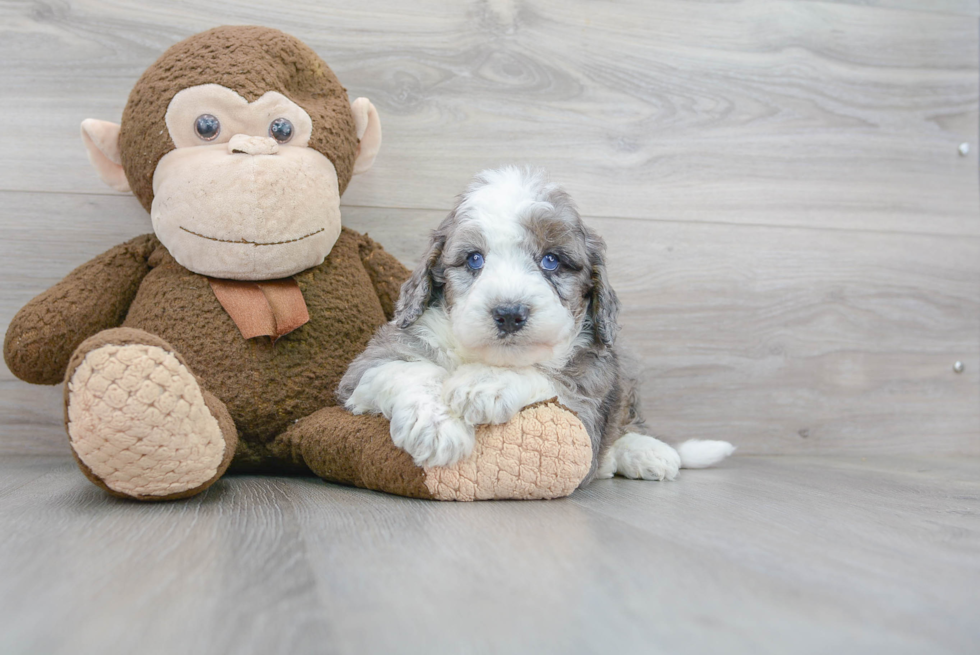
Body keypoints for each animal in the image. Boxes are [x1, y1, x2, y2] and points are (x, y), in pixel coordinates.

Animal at [336, 167, 728, 484]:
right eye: (474, 259)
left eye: (551, 260)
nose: (509, 313)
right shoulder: (364, 369)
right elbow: (407, 369)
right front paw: (436, 426)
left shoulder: (586, 405)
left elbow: (548, 376)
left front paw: (484, 384)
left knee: (627, 426)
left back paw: (648, 452)